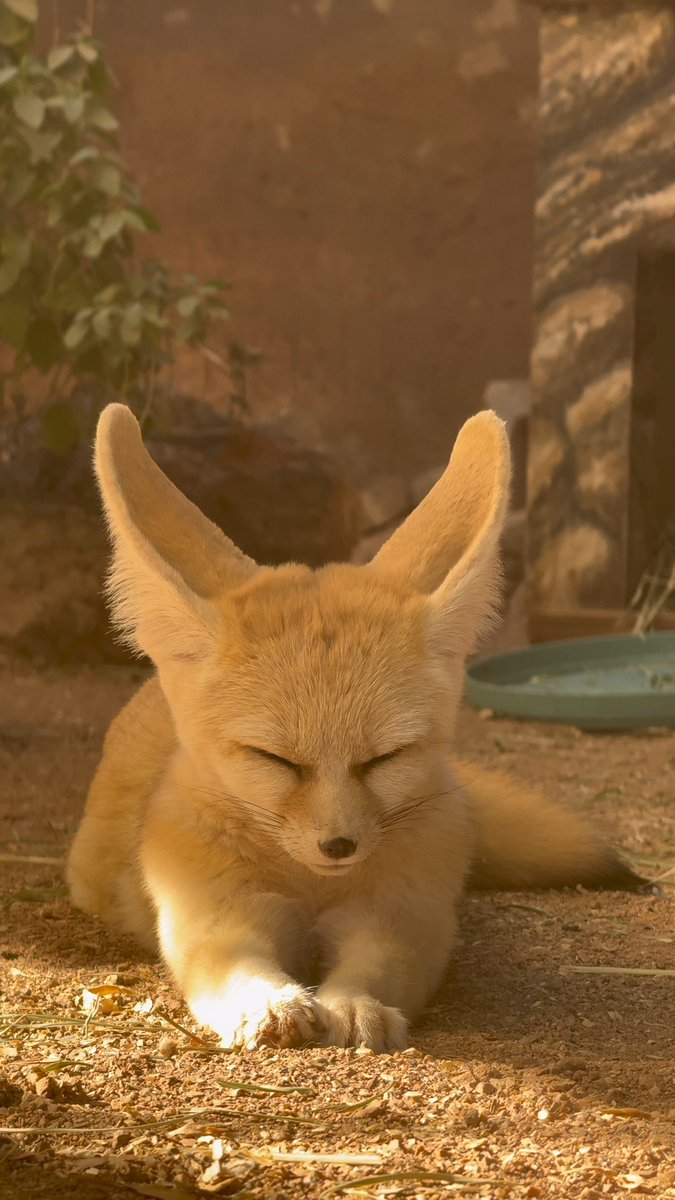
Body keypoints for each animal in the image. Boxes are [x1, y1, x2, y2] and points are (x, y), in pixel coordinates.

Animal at [67, 404, 643, 1053]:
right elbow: (233, 966)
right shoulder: (217, 916)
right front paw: (267, 1002)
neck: (313, 887)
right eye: (275, 759)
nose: (338, 845)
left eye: (384, 759)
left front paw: (354, 1004)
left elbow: (380, 967)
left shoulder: (402, 919)